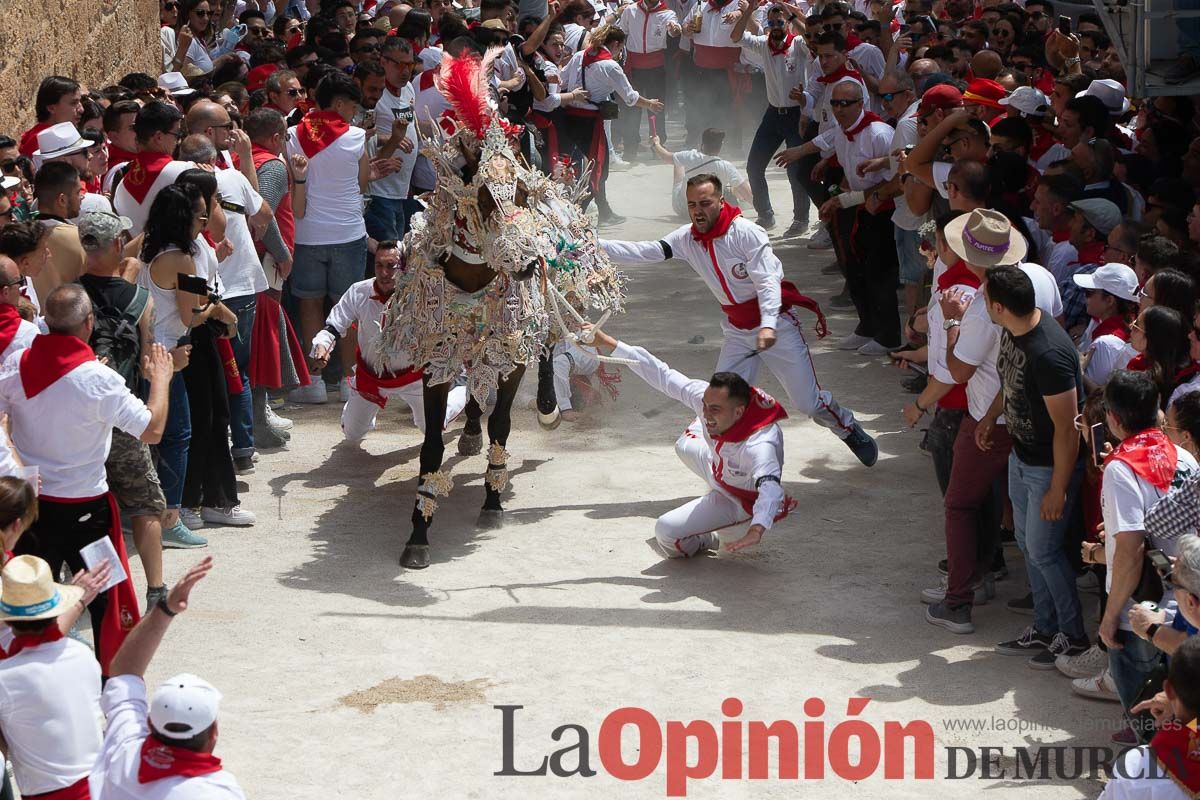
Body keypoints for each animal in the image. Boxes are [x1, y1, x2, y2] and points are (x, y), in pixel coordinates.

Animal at [376, 50, 628, 566]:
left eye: (523, 193)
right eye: (484, 197)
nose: (530, 261)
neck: (475, 279)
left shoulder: (513, 346)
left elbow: (504, 421)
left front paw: (492, 500)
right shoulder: (438, 356)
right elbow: (431, 445)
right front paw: (418, 531)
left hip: (540, 314)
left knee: (548, 348)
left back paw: (548, 408)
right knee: (477, 381)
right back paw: (470, 429)